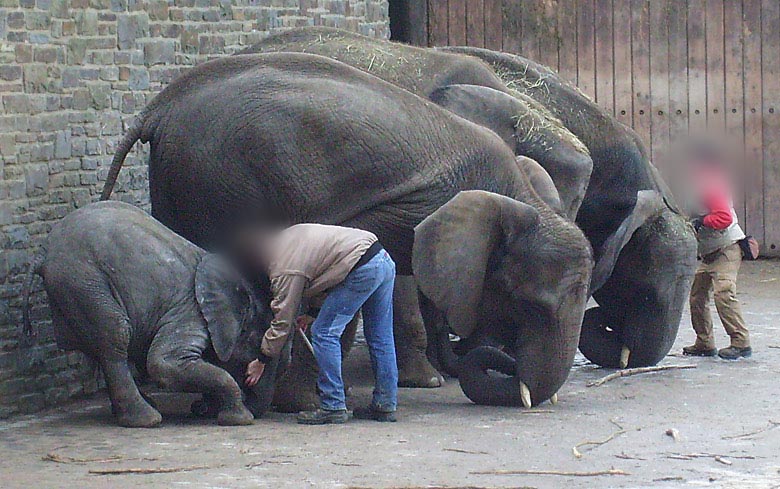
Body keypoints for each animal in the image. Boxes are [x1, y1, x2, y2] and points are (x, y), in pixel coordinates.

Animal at [21, 200, 286, 426]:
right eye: (256, 346)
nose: (198, 408)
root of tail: (43, 252)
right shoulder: (189, 312)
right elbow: (163, 364)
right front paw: (239, 419)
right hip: (83, 281)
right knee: (116, 336)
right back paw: (147, 419)